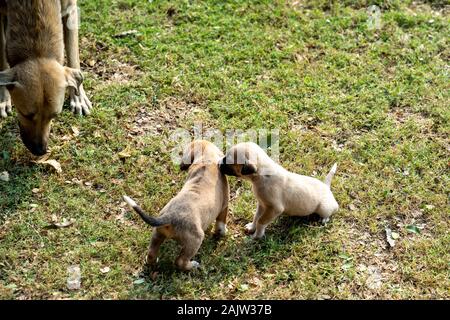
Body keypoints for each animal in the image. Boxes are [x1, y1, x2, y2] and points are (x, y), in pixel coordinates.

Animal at [0, 0, 90, 155]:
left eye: (54, 115)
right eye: (25, 114)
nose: (40, 151)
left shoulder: (70, 9)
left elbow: (73, 56)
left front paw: (79, 98)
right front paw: (4, 97)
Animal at [123, 140, 229, 270]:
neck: (206, 160)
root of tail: (170, 217)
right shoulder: (224, 206)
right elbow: (221, 223)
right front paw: (222, 232)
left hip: (157, 233)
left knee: (151, 253)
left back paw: (153, 262)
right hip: (195, 240)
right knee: (180, 261)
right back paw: (192, 266)